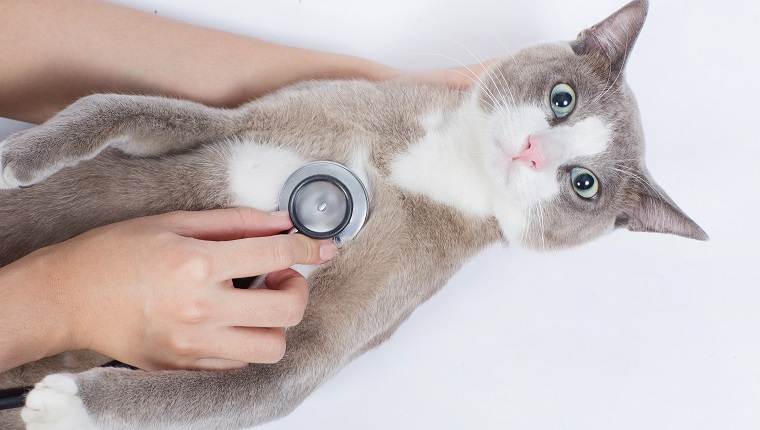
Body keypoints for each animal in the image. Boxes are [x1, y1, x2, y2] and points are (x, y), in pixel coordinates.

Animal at [0, 1, 708, 428]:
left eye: (583, 184)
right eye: (562, 99)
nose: (534, 151)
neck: (420, 166)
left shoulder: (311, 350)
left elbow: (245, 387)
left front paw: (66, 402)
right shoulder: (237, 122)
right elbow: (113, 106)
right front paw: (15, 160)